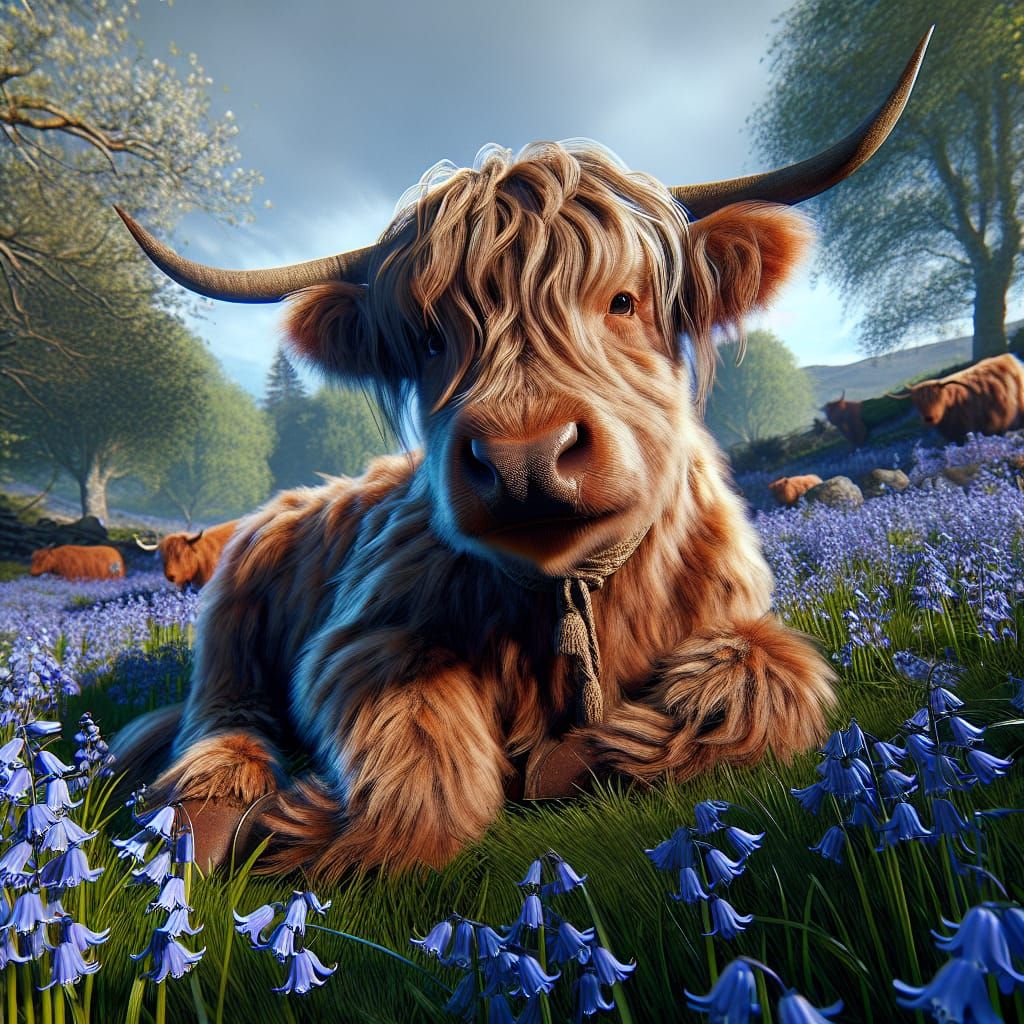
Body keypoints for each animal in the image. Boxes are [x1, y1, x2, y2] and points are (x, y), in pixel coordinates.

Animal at [111, 33, 931, 879]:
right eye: (429, 341)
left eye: (623, 301)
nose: (523, 458)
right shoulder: (360, 635)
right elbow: (420, 756)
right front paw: (291, 831)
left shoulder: (738, 615)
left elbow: (772, 680)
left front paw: (577, 757)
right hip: (234, 606)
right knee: (219, 708)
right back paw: (204, 813)